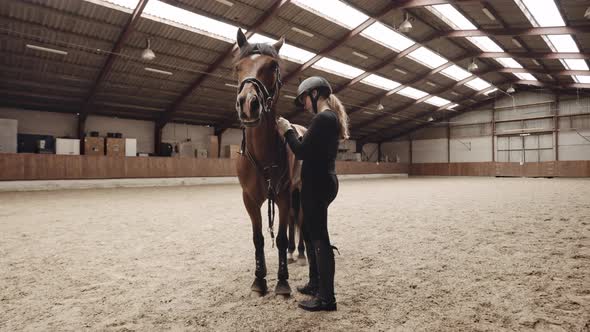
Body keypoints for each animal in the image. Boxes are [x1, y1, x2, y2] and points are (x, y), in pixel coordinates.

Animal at [234, 29, 306, 296]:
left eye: (272, 66)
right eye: (237, 67)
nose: (248, 104)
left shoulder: (283, 195)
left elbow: (282, 237)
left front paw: (282, 282)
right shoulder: (249, 199)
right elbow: (259, 239)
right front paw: (259, 280)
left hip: (299, 190)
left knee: (300, 218)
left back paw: (301, 253)